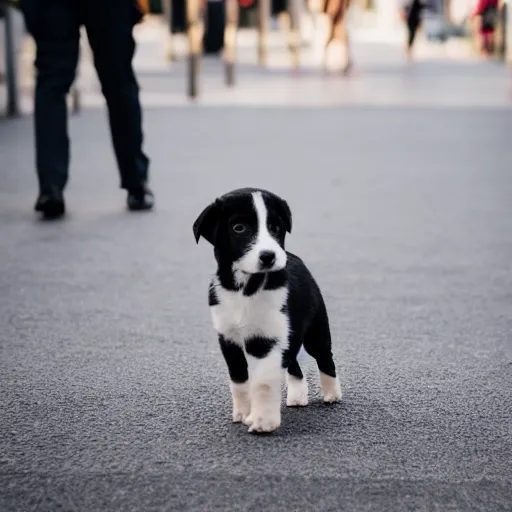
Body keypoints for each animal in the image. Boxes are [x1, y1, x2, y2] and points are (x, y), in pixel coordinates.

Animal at [194, 187, 342, 432]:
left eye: (275, 227)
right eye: (239, 228)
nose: (269, 256)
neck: (246, 289)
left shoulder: (268, 338)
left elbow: (263, 381)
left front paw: (263, 421)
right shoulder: (228, 339)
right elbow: (239, 379)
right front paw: (244, 413)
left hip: (316, 328)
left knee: (324, 356)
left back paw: (332, 394)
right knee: (292, 361)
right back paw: (297, 396)